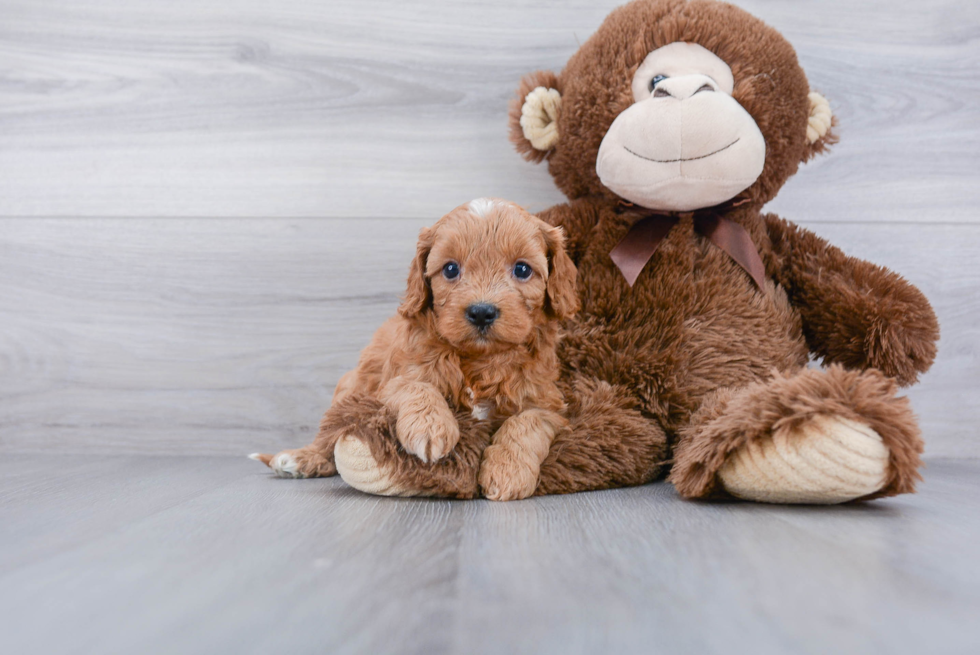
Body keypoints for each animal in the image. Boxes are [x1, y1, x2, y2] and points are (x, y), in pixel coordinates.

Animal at [249, 200, 580, 502]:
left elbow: (525, 423)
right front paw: (430, 428)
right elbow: (416, 386)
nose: (482, 312)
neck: (480, 361)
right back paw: (301, 458)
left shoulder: (546, 402)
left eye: (522, 269)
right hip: (350, 386)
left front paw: (508, 471)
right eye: (450, 269)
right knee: (328, 433)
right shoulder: (394, 380)